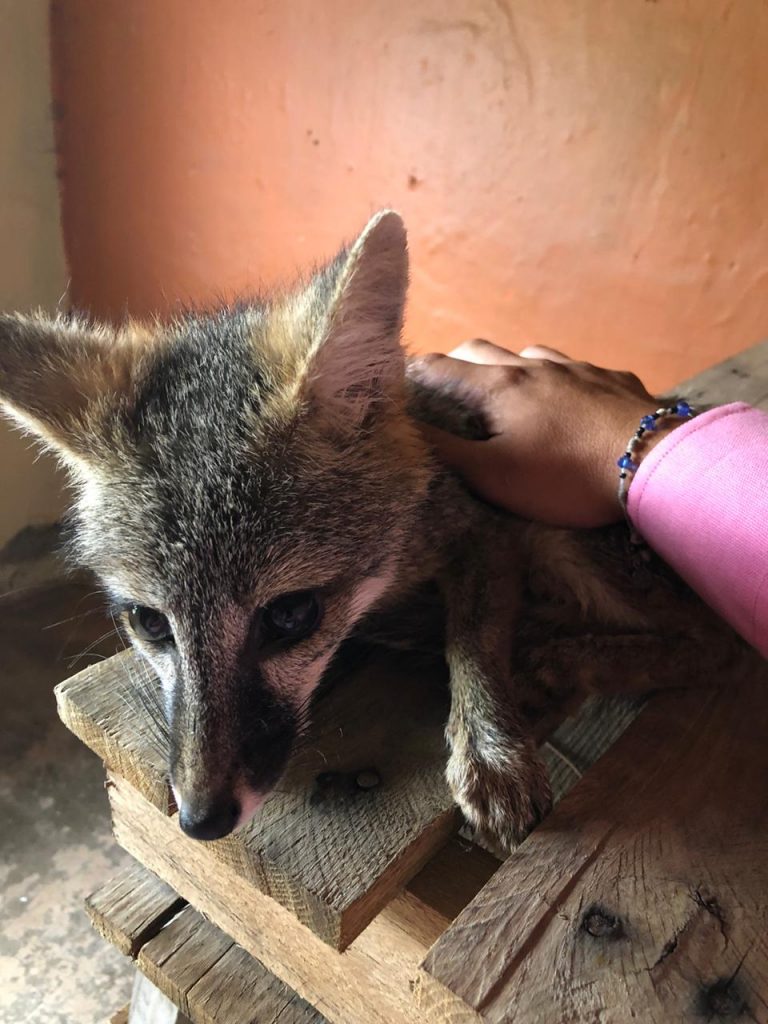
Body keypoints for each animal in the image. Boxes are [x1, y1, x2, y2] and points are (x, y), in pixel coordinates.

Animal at [0, 211, 745, 851]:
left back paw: (558, 653)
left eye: (290, 616)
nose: (201, 821)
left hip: (564, 530)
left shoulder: (487, 528)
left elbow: (474, 639)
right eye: (150, 623)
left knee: (715, 646)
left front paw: (492, 754)